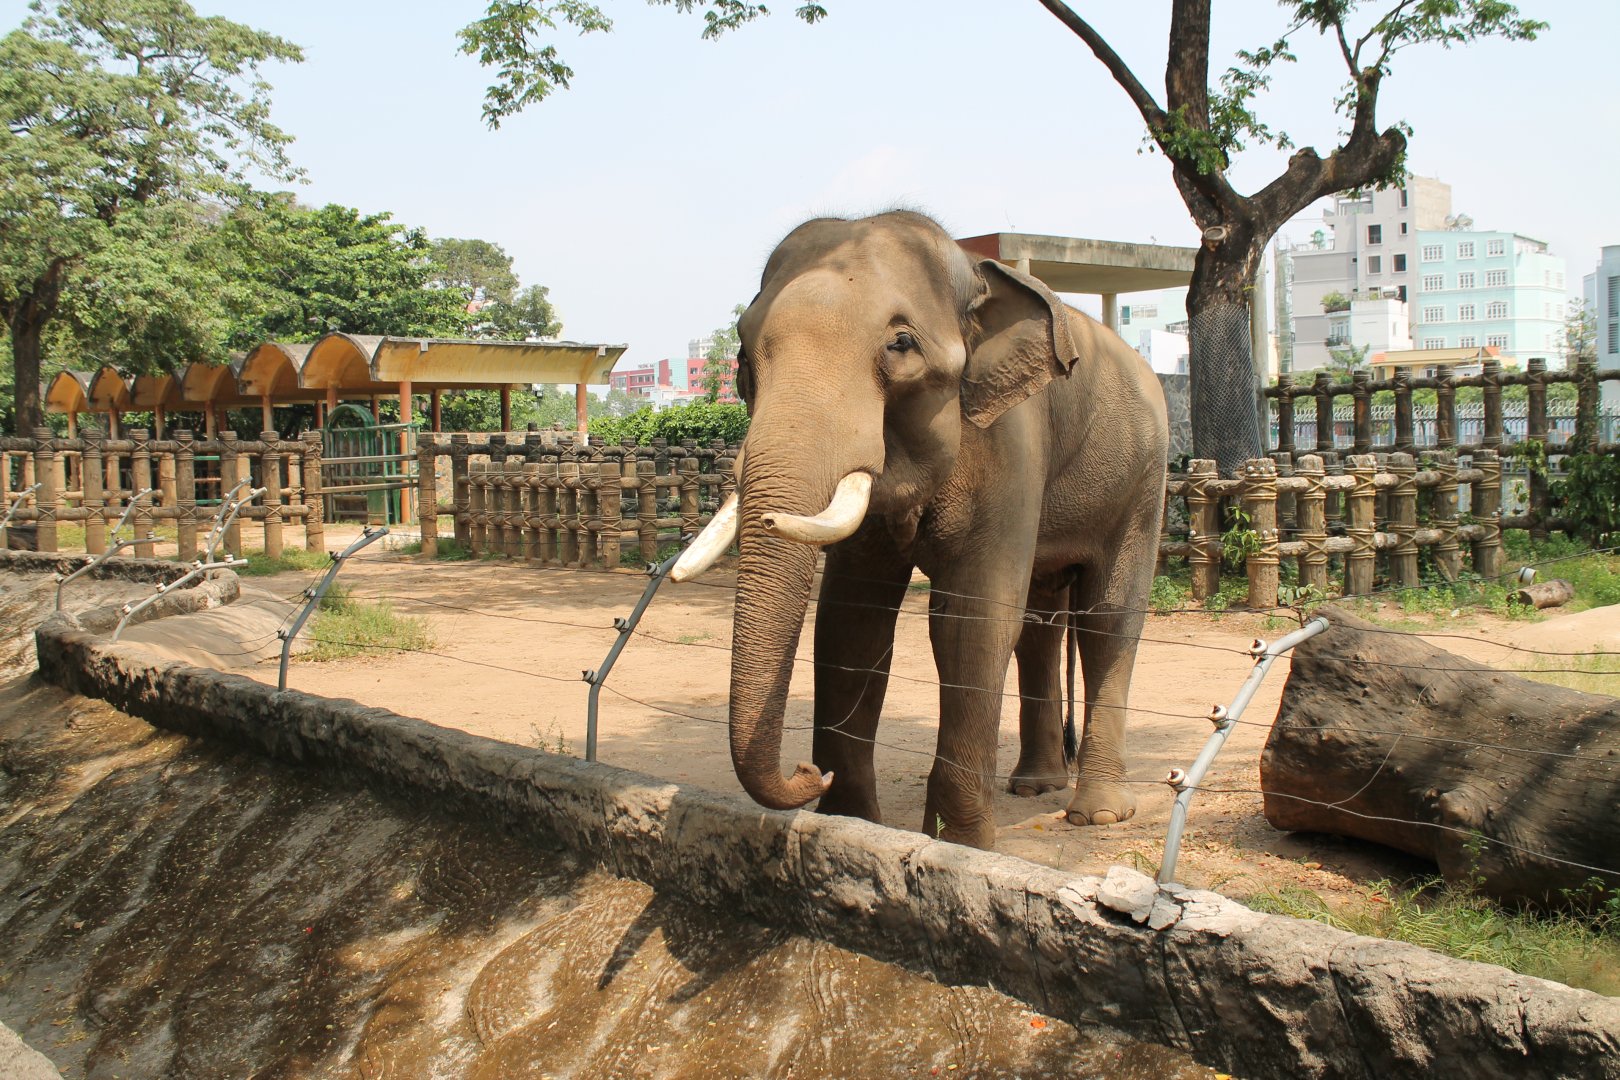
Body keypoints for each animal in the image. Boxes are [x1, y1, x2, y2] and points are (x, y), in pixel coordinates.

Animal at [673, 210, 1168, 849]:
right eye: (740, 356)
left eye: (901, 344)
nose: (807, 770)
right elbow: (851, 620)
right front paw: (851, 823)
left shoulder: (1012, 438)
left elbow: (972, 618)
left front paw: (962, 844)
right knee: (1040, 623)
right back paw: (1034, 786)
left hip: (1145, 478)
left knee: (1109, 617)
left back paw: (1098, 813)